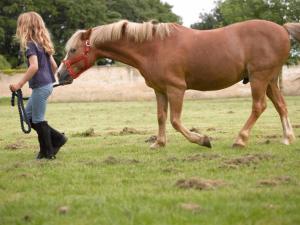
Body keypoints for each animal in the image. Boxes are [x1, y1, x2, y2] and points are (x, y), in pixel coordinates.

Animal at [56, 20, 300, 149]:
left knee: (259, 107)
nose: (60, 74)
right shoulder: (160, 90)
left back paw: (240, 140)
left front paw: (202, 139)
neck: (154, 47)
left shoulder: (176, 89)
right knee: (281, 106)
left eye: (73, 50)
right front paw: (159, 143)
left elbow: (175, 120)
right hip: (270, 80)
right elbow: (161, 117)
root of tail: (282, 29)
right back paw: (287, 138)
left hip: (259, 78)